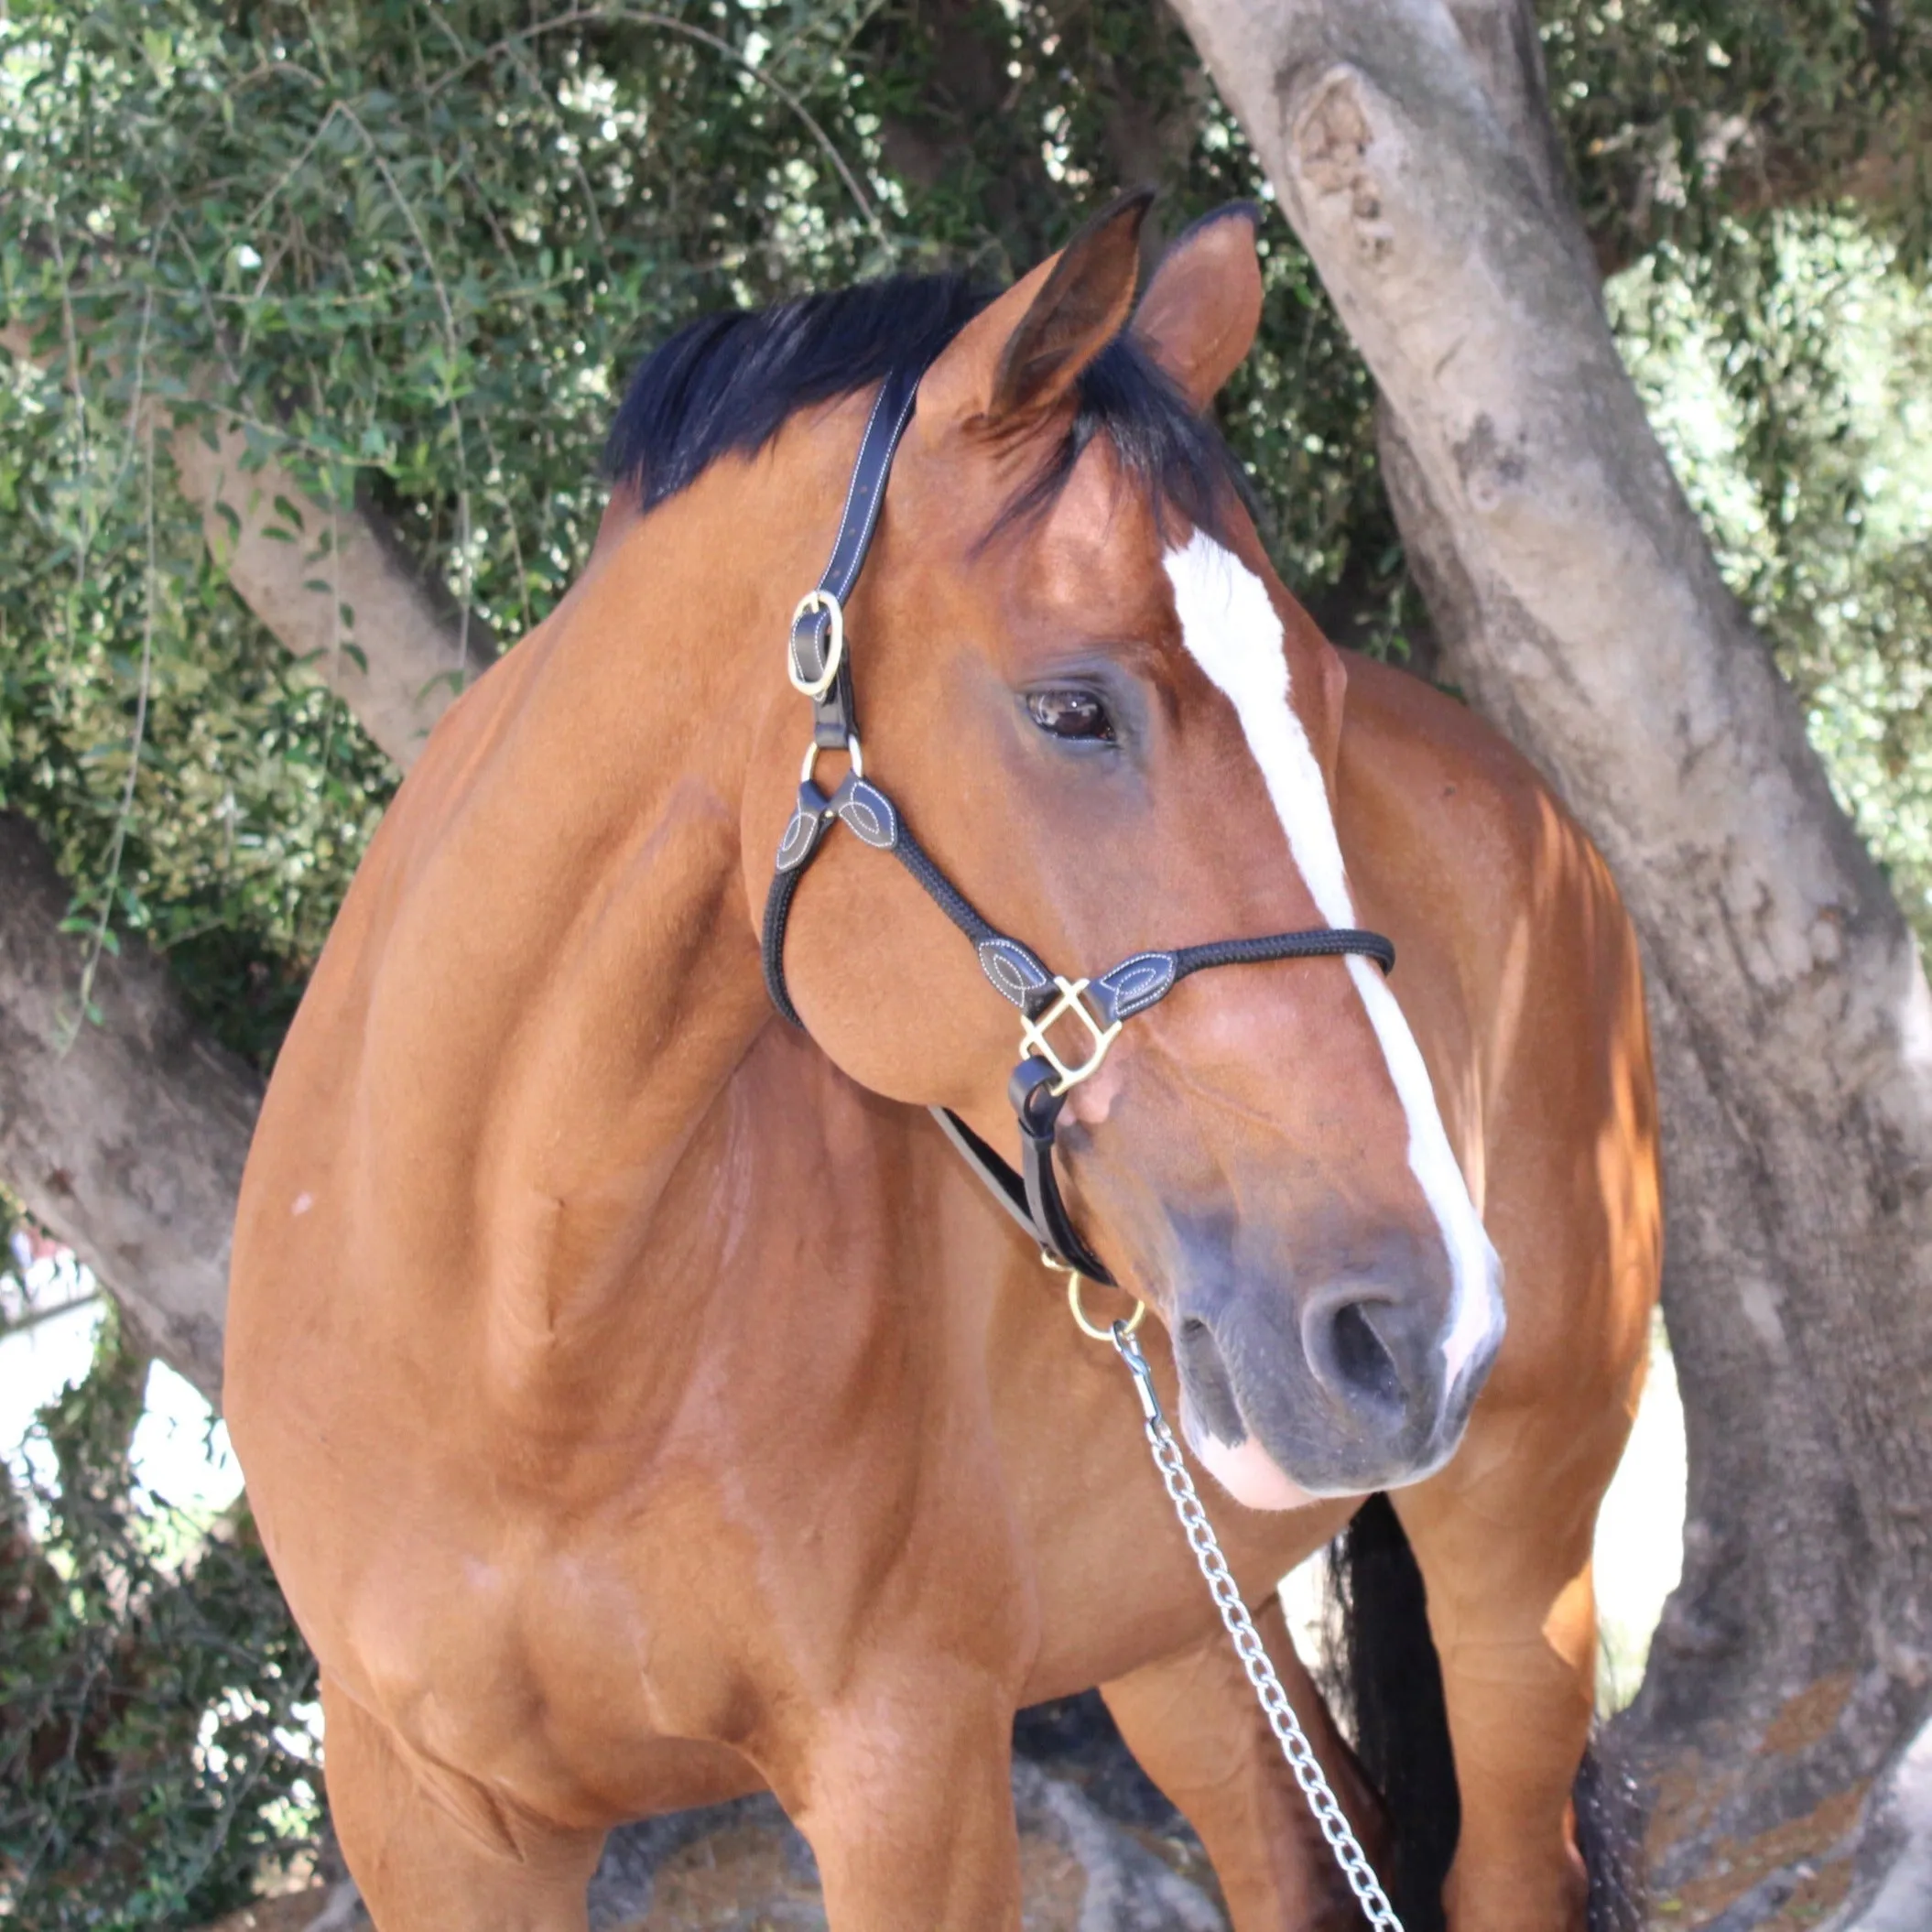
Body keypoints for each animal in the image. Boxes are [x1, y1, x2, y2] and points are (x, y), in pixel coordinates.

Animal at [225, 191, 1661, 1932]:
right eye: (1072, 709)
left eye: (1315, 697)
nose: (1419, 1323)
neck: (515, 1348)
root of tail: (1539, 817)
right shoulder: (430, 1823)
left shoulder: (907, 1771)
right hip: (1176, 1619)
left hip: (1518, 1543)